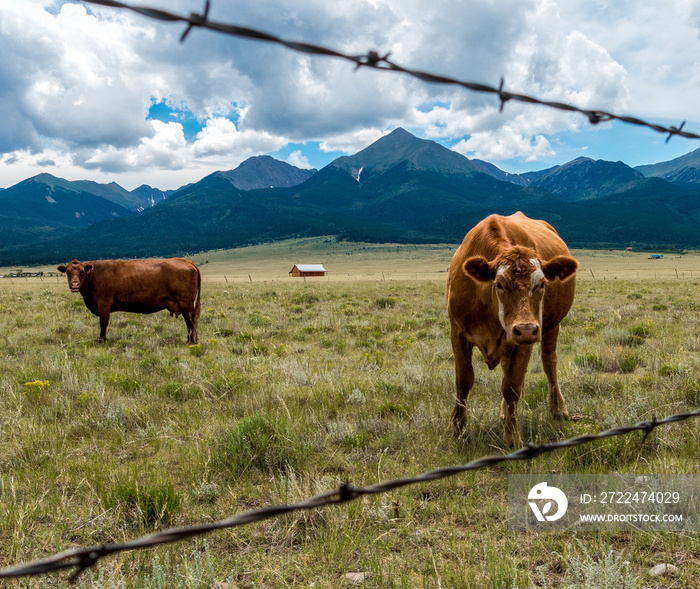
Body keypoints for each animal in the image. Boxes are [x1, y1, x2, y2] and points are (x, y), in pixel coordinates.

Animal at [57, 256, 201, 342]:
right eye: (68, 272)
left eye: (82, 272)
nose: (75, 285)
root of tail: (185, 260)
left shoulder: (104, 304)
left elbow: (103, 323)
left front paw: (101, 340)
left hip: (186, 304)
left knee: (191, 322)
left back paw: (191, 341)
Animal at [448, 214, 580, 444]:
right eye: (499, 284)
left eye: (542, 284)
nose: (525, 329)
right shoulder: (457, 332)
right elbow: (463, 381)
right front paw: (458, 429)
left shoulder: (526, 340)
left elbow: (511, 386)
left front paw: (512, 435)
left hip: (550, 328)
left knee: (549, 362)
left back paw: (558, 408)